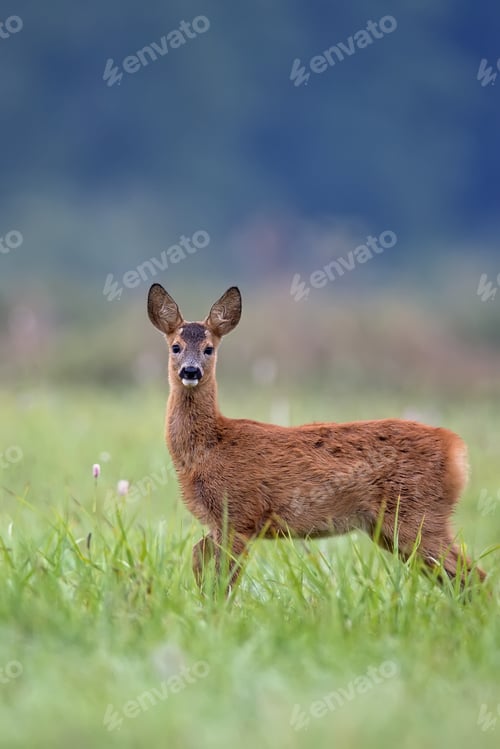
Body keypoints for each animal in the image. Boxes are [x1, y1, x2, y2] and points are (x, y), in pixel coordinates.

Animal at [147, 283, 486, 593]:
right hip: (394, 528)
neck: (209, 447)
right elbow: (198, 558)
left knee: (475, 577)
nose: (191, 371)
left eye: (209, 348)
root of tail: (456, 449)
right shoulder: (222, 523)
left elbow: (222, 582)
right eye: (175, 347)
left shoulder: (239, 515)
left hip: (417, 514)